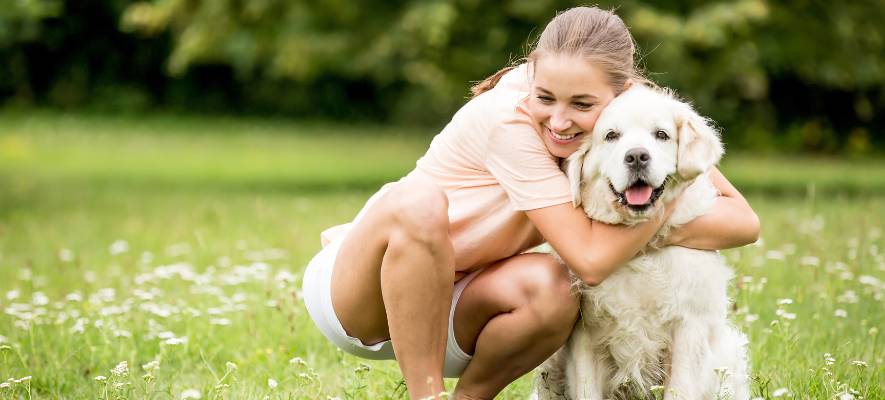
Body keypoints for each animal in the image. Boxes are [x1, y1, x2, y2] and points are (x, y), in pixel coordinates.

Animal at [528, 85, 748, 400]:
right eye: (611, 135)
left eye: (661, 134)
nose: (636, 156)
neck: (636, 248)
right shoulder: (584, 335)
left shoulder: (688, 327)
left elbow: (680, 388)